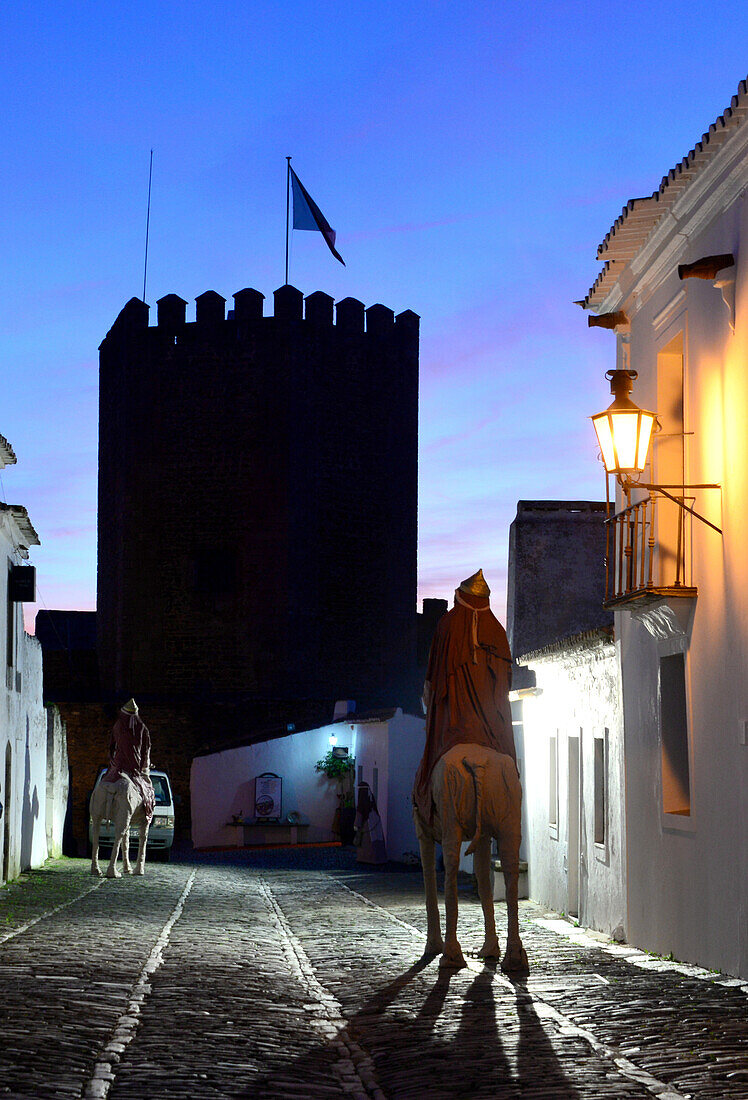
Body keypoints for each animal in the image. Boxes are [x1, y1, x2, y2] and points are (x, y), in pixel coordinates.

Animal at [411, 748, 528, 972]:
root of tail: (477, 761)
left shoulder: (422, 823)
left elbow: (428, 867)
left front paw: (432, 948)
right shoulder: (483, 834)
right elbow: (482, 875)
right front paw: (490, 951)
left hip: (449, 793)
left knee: (450, 864)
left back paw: (450, 957)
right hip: (508, 794)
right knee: (510, 868)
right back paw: (514, 959)